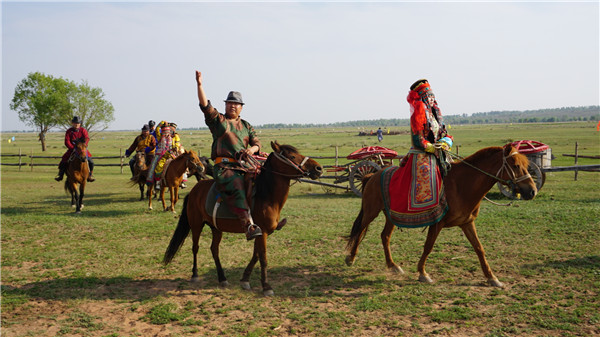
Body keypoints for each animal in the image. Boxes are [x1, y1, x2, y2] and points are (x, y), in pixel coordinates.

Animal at [162, 141, 324, 294]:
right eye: (292, 156)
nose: (318, 168)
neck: (266, 195)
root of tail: (194, 190)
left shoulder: (260, 233)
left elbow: (256, 255)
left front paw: (245, 279)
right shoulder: (263, 232)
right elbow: (263, 258)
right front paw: (266, 287)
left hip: (216, 228)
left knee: (214, 249)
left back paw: (222, 278)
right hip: (196, 225)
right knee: (195, 248)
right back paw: (195, 275)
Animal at [344, 144, 536, 286]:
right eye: (515, 165)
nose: (532, 191)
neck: (462, 185)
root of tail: (371, 175)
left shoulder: (467, 223)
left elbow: (479, 248)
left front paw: (492, 278)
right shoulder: (437, 223)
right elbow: (428, 246)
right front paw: (423, 273)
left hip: (391, 215)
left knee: (384, 236)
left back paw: (393, 266)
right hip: (371, 211)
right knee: (360, 231)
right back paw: (350, 258)